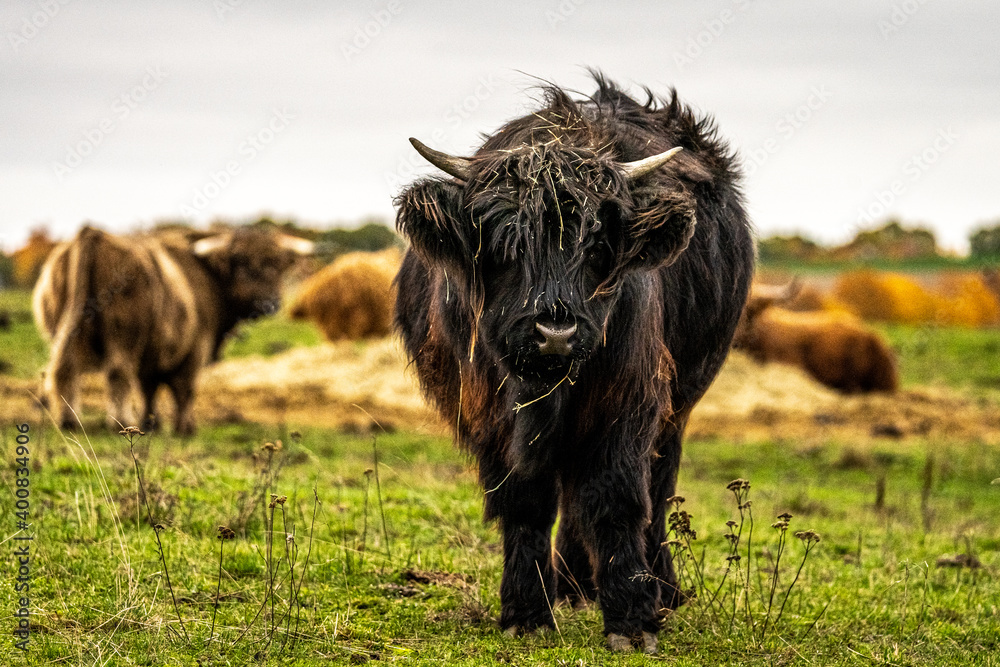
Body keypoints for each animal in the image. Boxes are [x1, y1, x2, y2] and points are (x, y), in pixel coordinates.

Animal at [33, 224, 313, 434]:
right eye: (243, 263)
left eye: (278, 264)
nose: (270, 303)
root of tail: (94, 234)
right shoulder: (195, 349)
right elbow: (184, 389)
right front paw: (185, 427)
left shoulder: (152, 356)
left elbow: (148, 389)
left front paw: (151, 424)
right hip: (123, 335)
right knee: (117, 372)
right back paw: (121, 422)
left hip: (62, 329)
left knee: (66, 370)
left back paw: (70, 420)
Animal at [393, 75, 754, 653]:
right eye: (504, 240)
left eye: (595, 243)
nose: (554, 332)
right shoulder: (490, 414)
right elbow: (525, 501)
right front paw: (527, 612)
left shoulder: (624, 400)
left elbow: (615, 499)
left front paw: (632, 619)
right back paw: (571, 587)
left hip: (678, 405)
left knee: (657, 485)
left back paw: (658, 590)